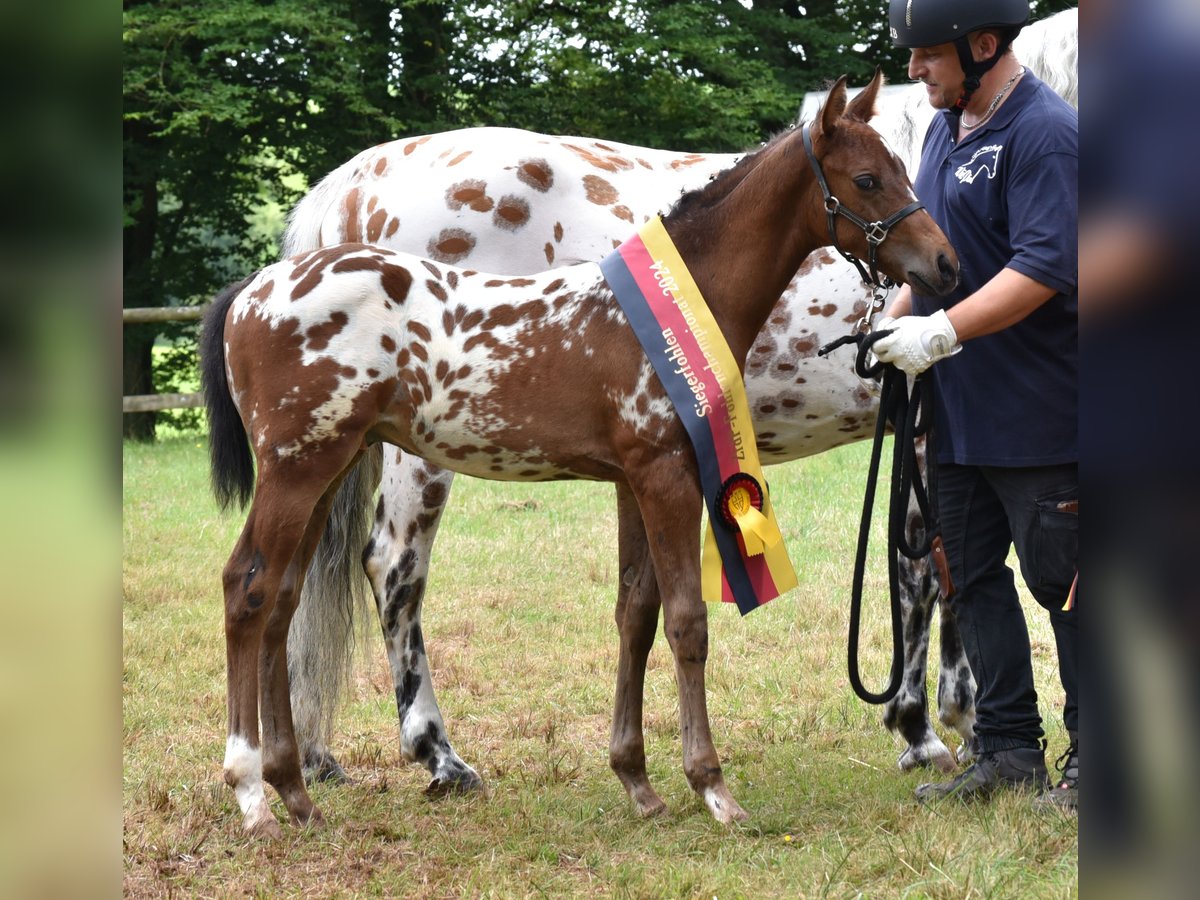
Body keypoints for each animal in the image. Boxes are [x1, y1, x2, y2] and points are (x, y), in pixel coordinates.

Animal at [199, 72, 955, 840]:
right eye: (867, 178)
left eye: (903, 167)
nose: (944, 263)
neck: (680, 304)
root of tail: (253, 292)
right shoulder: (666, 476)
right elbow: (688, 621)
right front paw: (714, 787)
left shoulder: (634, 482)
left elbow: (636, 615)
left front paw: (638, 781)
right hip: (306, 471)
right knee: (261, 586)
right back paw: (264, 791)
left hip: (325, 471)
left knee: (283, 598)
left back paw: (295, 790)